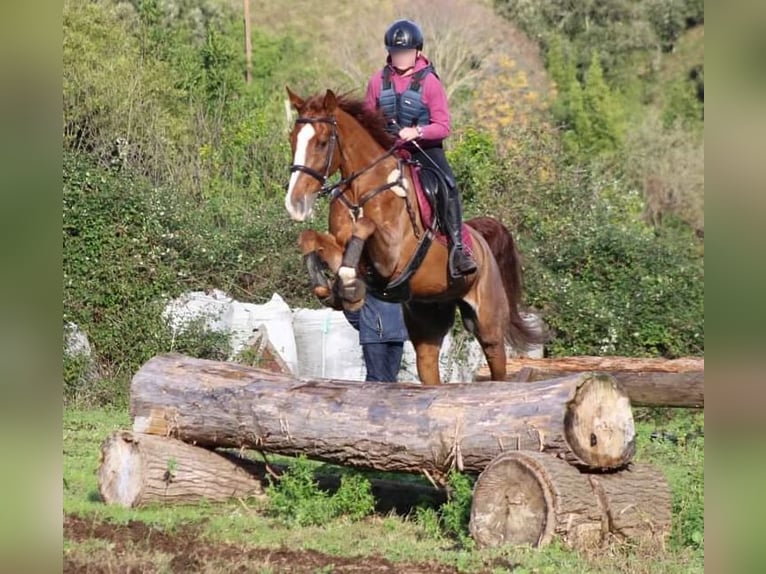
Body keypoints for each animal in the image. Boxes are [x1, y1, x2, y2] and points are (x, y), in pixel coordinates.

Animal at [282, 89, 540, 388]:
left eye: (323, 143)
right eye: (292, 139)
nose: (295, 203)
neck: (362, 191)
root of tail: (481, 240)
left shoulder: (391, 259)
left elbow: (365, 226)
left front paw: (347, 286)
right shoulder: (343, 247)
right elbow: (311, 238)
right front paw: (334, 288)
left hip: (488, 325)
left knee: (497, 363)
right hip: (427, 321)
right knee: (430, 368)